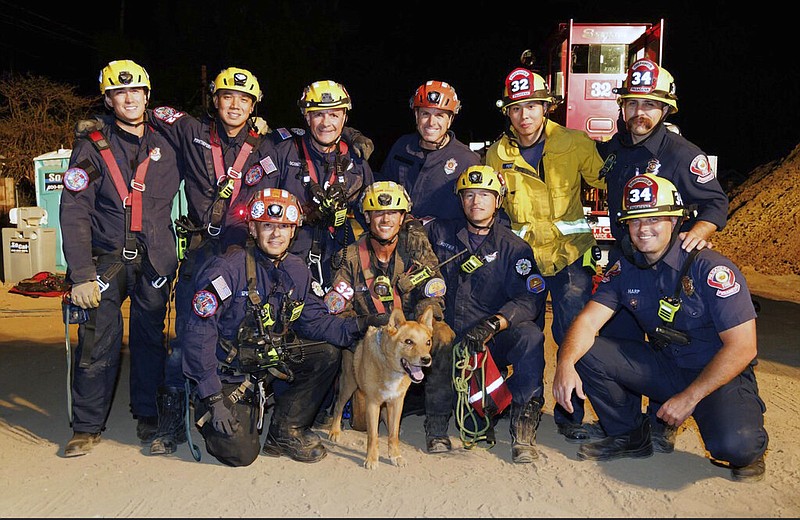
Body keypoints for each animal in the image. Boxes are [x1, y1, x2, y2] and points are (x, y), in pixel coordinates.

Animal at [328, 306, 434, 470]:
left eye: (428, 342)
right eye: (408, 341)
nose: (426, 359)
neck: (389, 367)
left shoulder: (397, 402)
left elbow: (393, 434)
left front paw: (395, 455)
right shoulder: (372, 404)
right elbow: (373, 436)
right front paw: (372, 458)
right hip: (349, 384)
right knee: (339, 405)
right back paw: (335, 430)